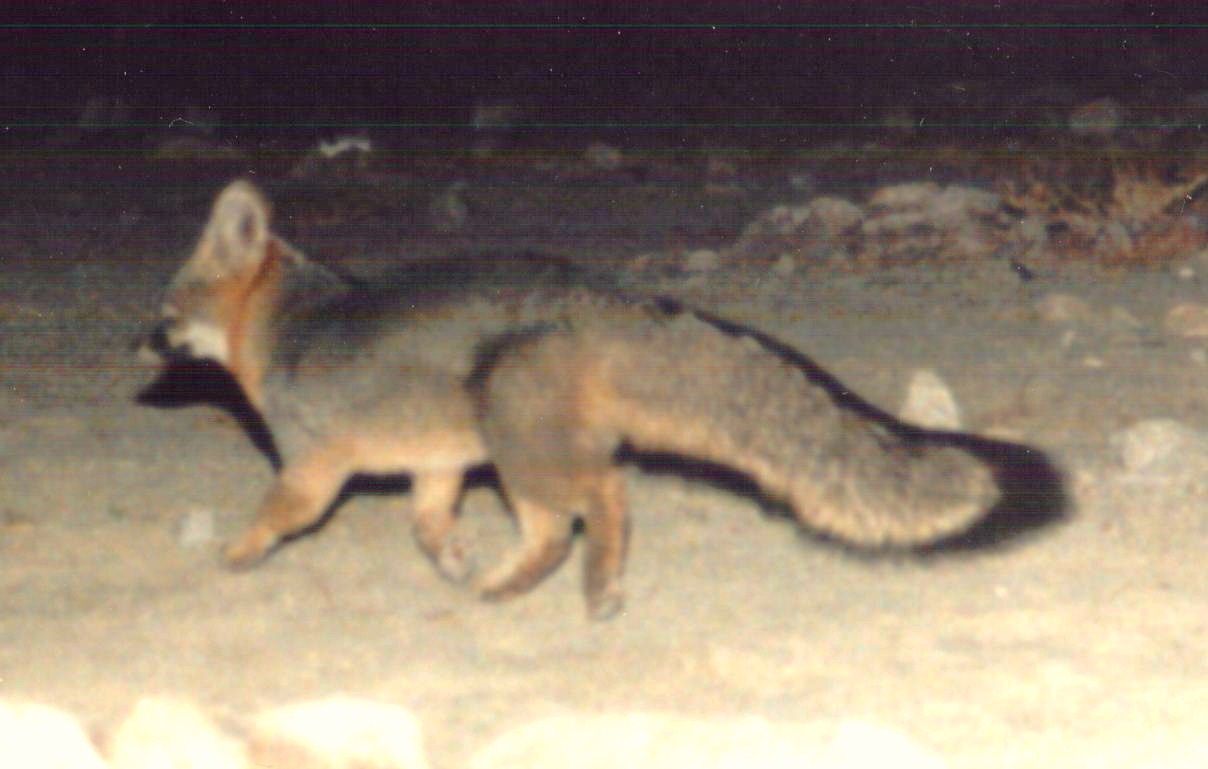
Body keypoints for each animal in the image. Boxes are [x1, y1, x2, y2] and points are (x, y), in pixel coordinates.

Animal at [141, 180, 1043, 620]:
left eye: (169, 310)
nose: (136, 350)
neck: (286, 322)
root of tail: (596, 290)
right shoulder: (437, 465)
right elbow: (426, 524)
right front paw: (454, 558)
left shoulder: (312, 469)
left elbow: (275, 514)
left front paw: (237, 553)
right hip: (512, 459)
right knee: (553, 533)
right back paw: (507, 586)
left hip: (525, 459)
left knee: (603, 498)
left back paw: (596, 589)